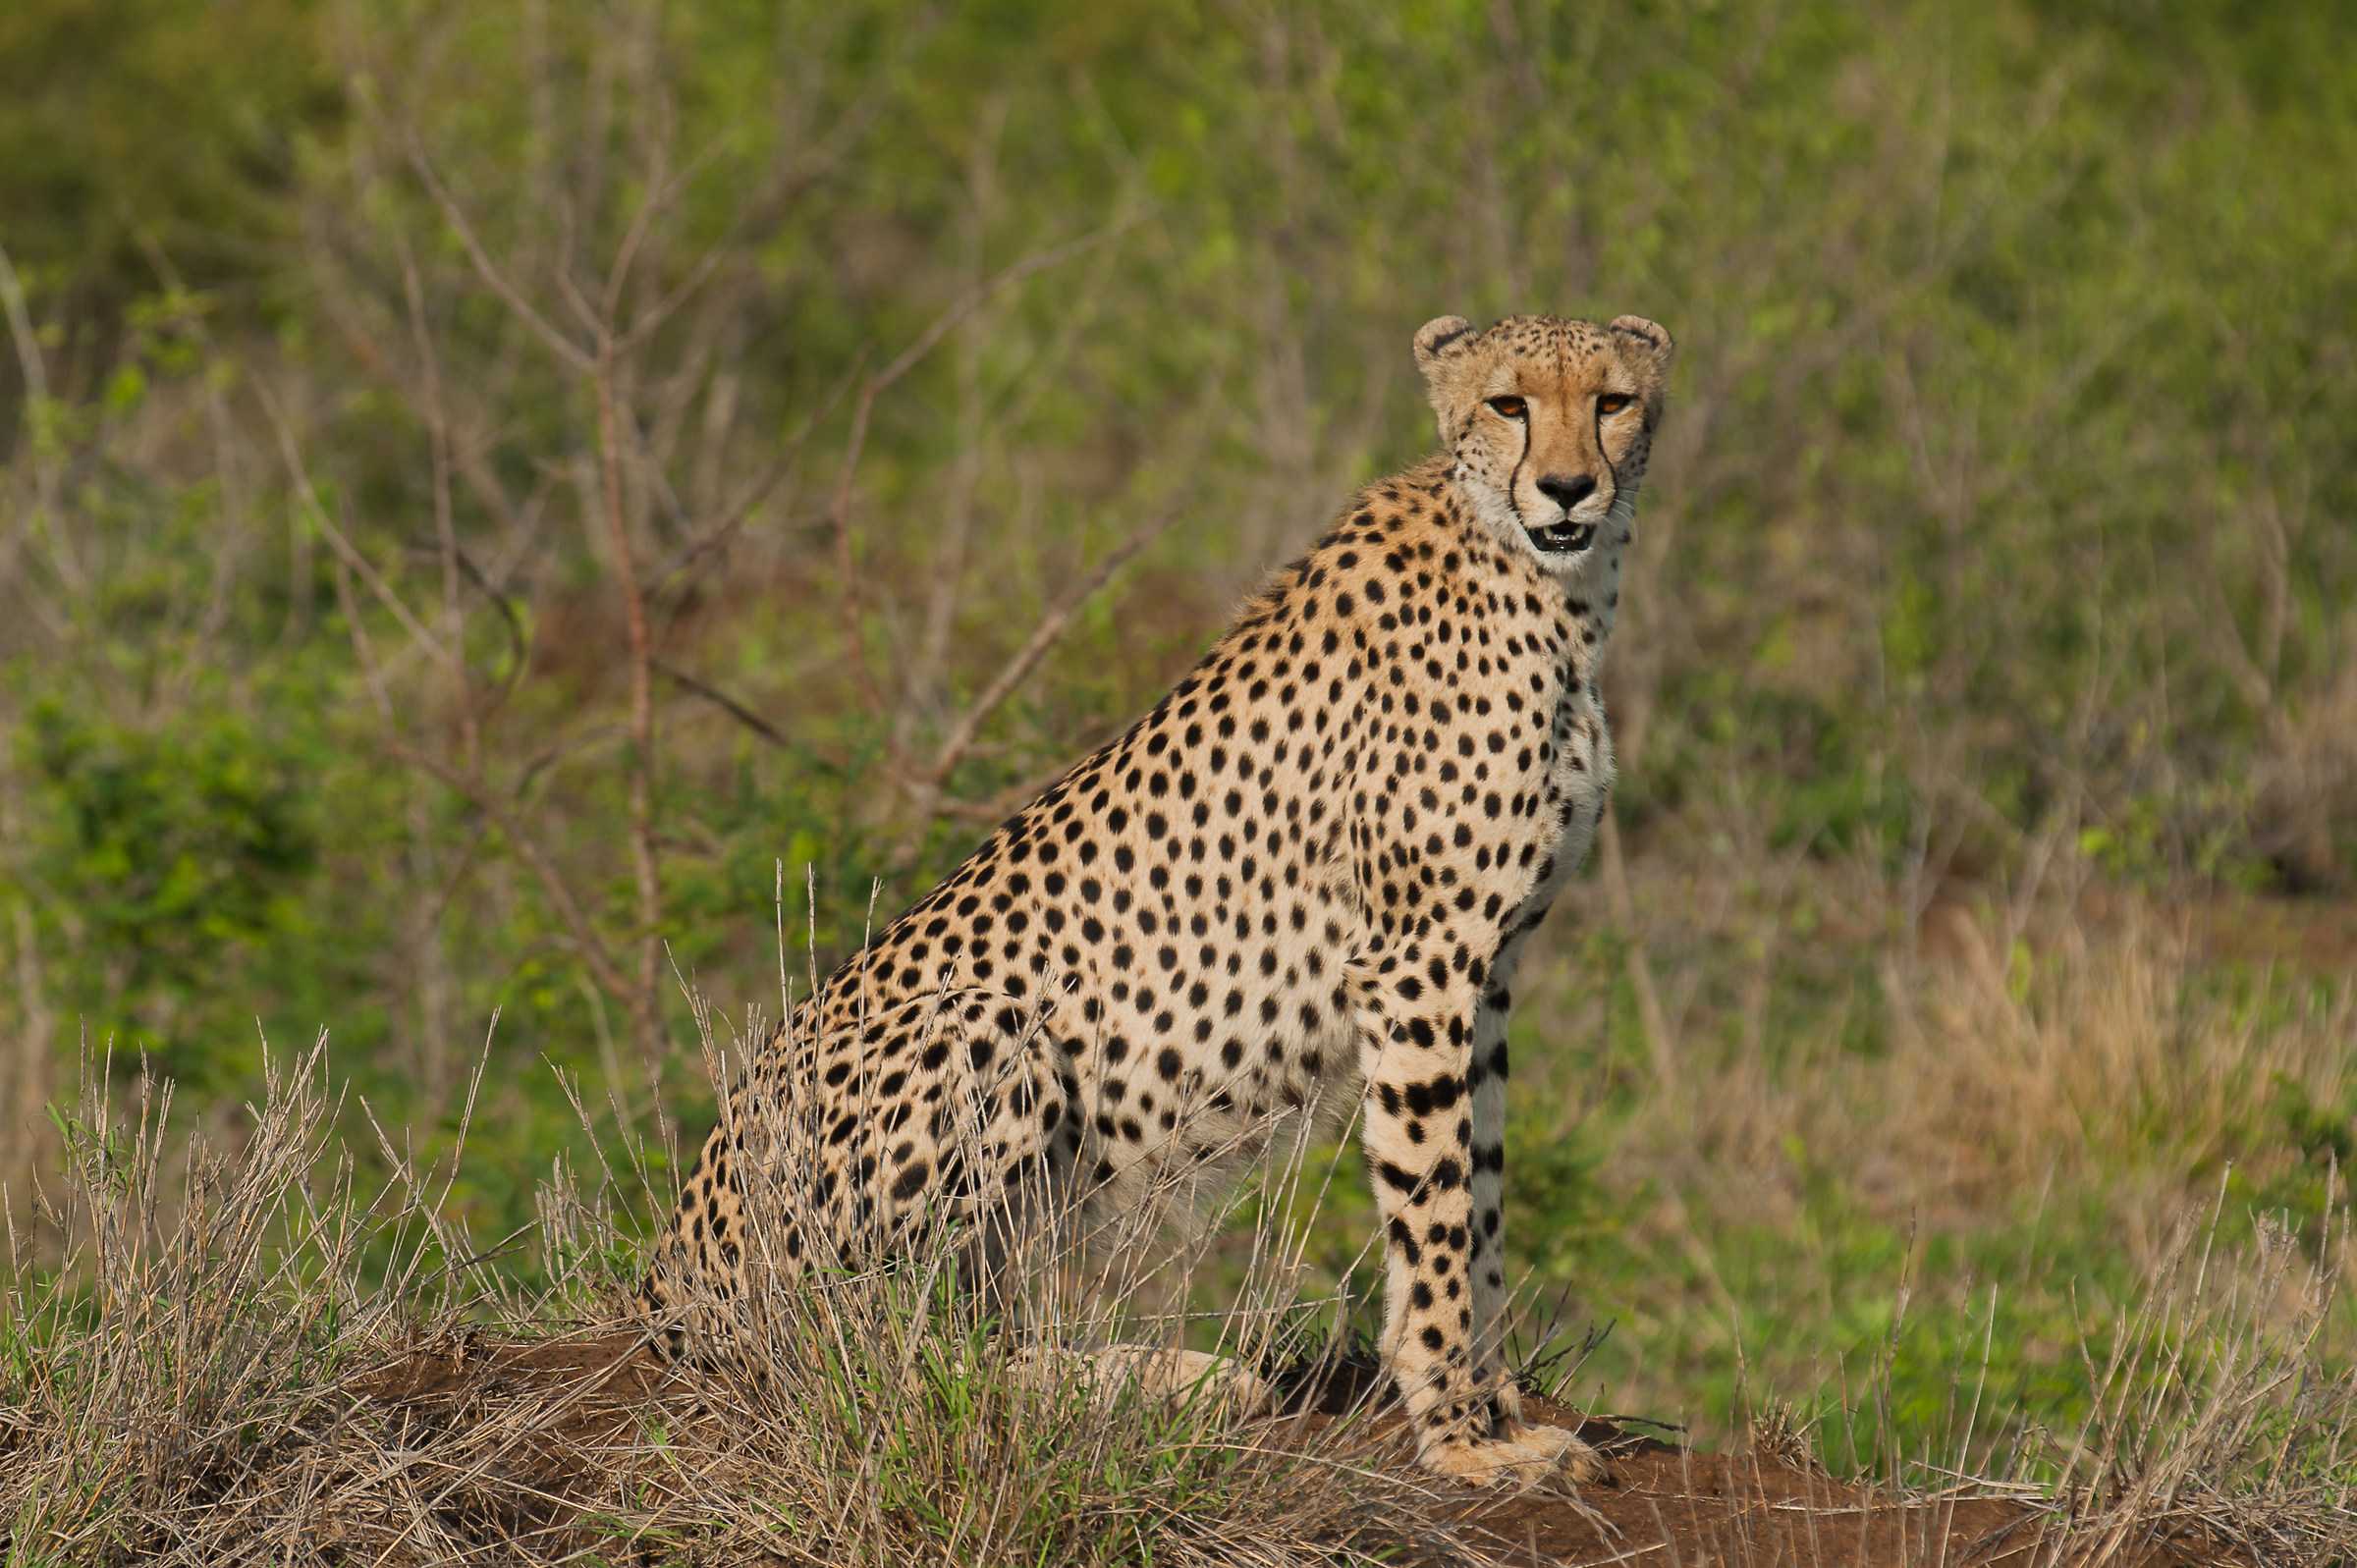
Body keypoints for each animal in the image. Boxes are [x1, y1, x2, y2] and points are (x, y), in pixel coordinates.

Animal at [640, 311, 1676, 1488]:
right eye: (1509, 403)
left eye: (1611, 401)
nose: (1567, 487)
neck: (1549, 587)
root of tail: (667, 1267)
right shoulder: (1419, 962)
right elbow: (1438, 1208)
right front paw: (1459, 1436)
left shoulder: (1487, 971)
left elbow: (1486, 1193)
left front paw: (1495, 1405)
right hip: (992, 1026)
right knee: (866, 1357)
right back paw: (1176, 1384)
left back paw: (1172, 1380)